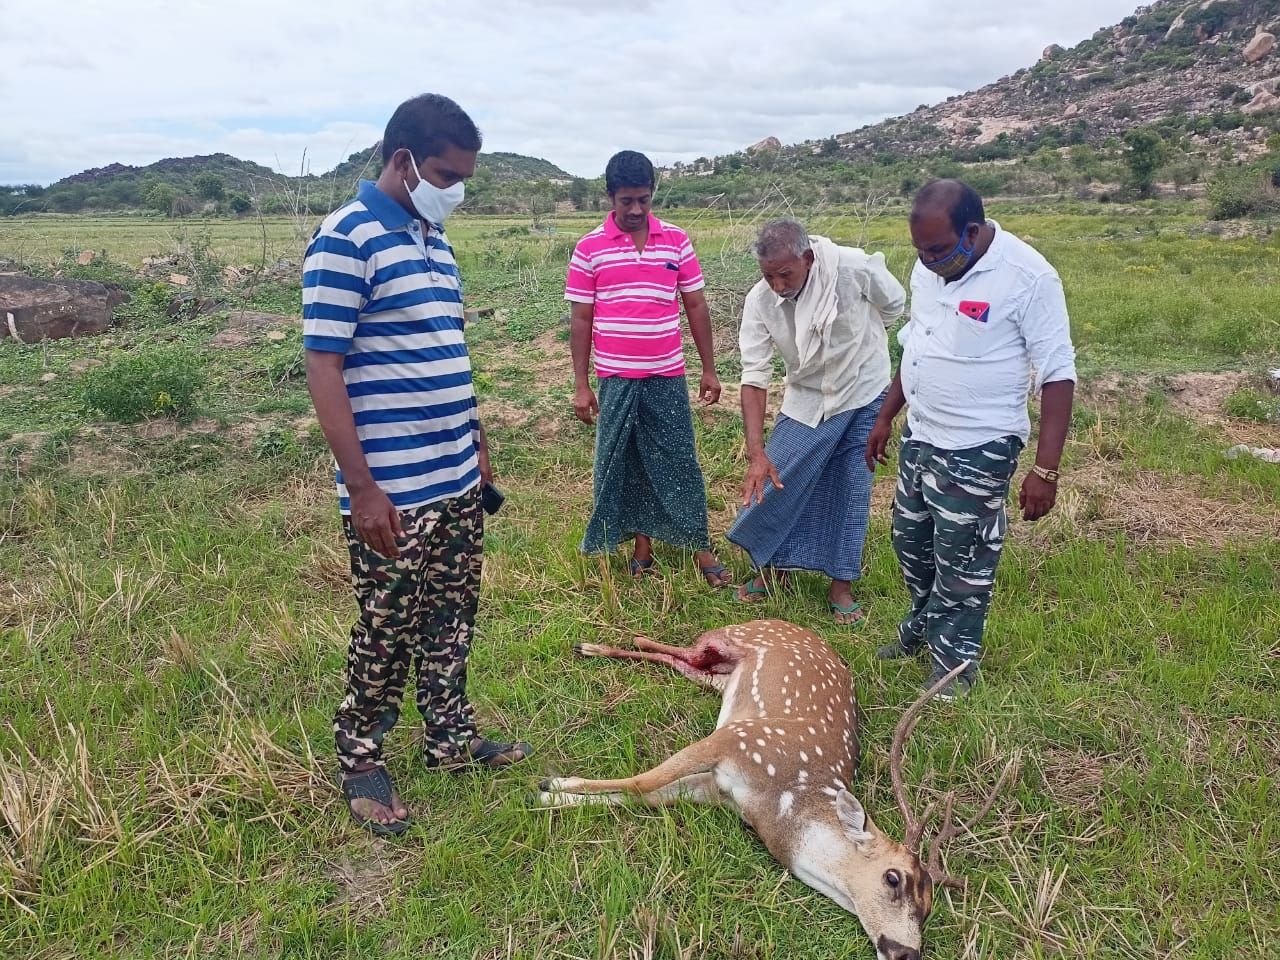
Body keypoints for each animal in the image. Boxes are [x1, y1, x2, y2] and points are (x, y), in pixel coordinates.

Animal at [540, 624, 1018, 960]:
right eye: (893, 877)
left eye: (930, 907)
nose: (905, 952)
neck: (780, 804)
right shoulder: (739, 738)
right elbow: (643, 781)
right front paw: (552, 783)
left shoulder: (716, 789)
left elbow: (642, 794)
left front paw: (555, 796)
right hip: (731, 639)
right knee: (680, 648)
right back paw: (591, 645)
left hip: (716, 676)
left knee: (682, 663)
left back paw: (596, 646)